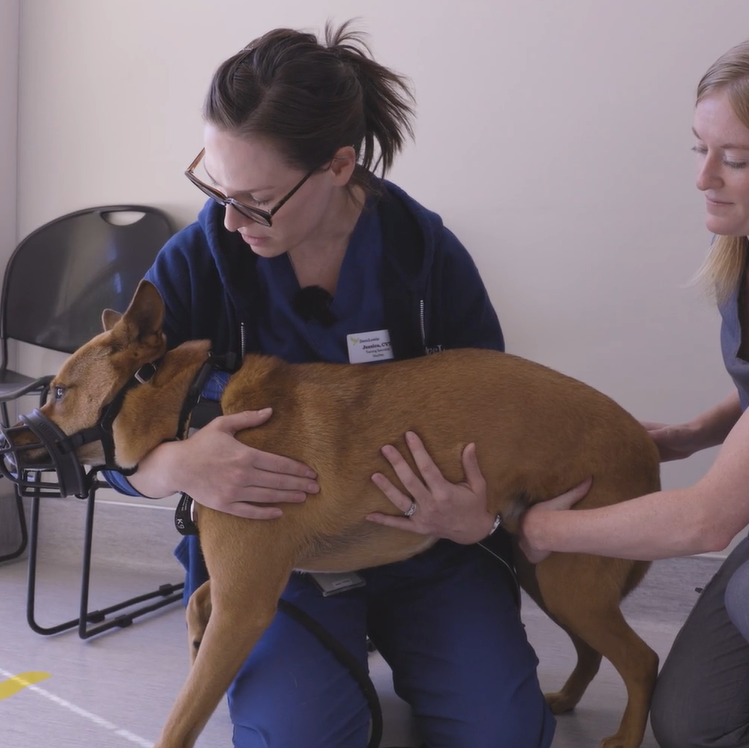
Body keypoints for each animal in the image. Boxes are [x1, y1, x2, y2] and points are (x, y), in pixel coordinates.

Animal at [13, 280, 660, 748]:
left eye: (61, 392)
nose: (8, 439)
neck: (203, 406)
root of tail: (645, 443)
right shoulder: (245, 586)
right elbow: (198, 602)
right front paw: (193, 639)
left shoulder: (246, 607)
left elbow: (180, 720)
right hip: (547, 571)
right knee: (593, 651)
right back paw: (568, 699)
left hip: (570, 580)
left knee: (641, 661)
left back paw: (625, 735)